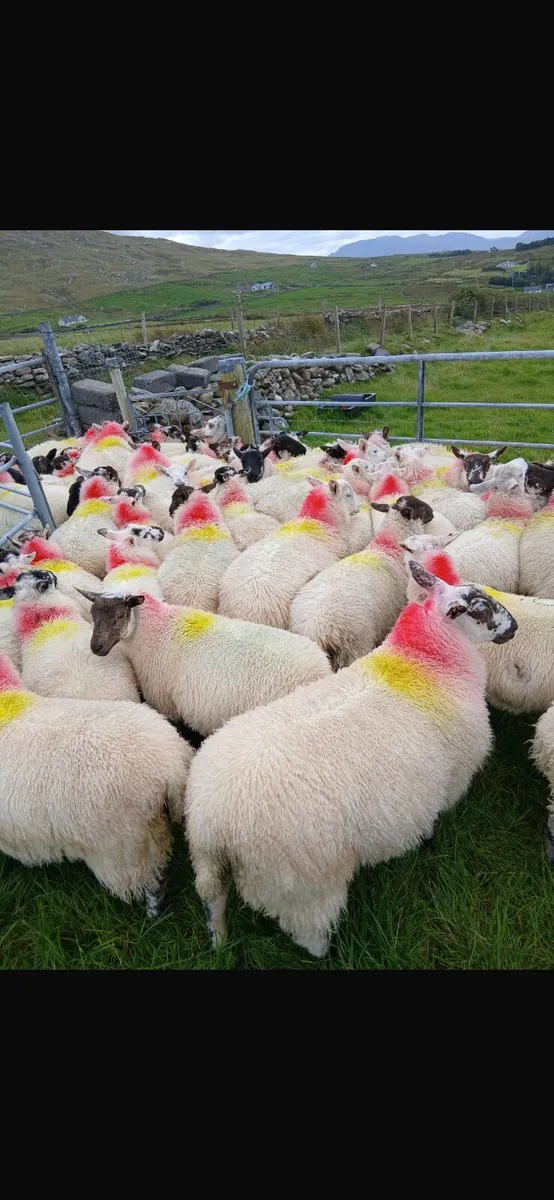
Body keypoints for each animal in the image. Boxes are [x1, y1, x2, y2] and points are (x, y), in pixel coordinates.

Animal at [82, 589, 332, 736]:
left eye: (120, 616)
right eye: (93, 614)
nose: (96, 647)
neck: (154, 628)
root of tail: (322, 671)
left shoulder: (163, 700)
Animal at [185, 560, 518, 957]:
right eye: (480, 610)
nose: (514, 627)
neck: (425, 663)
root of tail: (211, 822)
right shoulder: (450, 779)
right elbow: (432, 821)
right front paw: (428, 841)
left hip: (213, 869)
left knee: (214, 905)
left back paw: (218, 943)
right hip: (302, 882)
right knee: (309, 930)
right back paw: (327, 953)